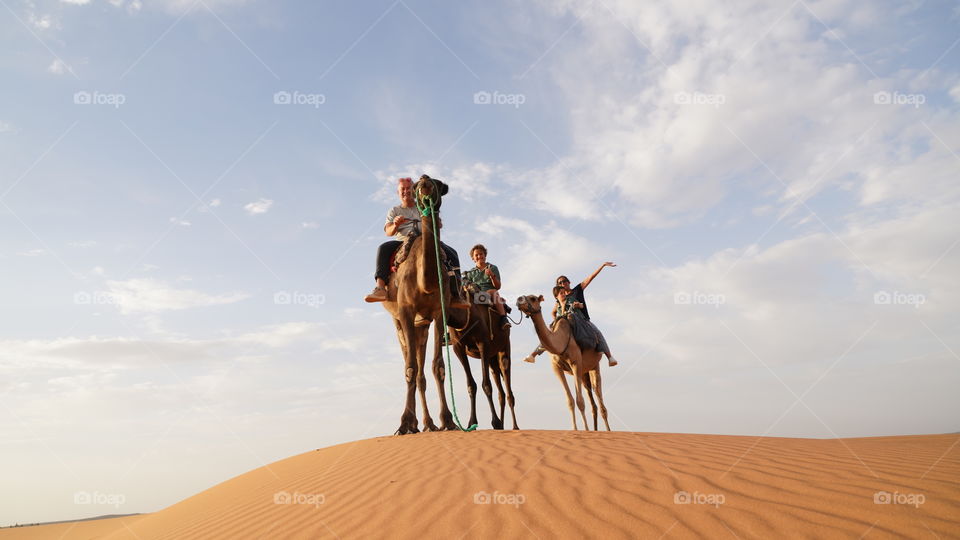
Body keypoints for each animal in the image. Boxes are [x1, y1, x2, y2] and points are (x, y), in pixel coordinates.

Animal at [378, 175, 462, 436]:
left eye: (439, 183)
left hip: (422, 325)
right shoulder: (406, 311)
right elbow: (410, 368)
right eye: (414, 186)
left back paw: (428, 423)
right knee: (412, 365)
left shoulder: (438, 312)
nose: (424, 180)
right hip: (398, 321)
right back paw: (415, 423)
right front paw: (404, 424)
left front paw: (448, 421)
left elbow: (438, 367)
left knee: (423, 372)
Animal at [448, 282, 516, 430]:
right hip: (492, 358)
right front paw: (472, 422)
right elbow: (471, 385)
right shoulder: (458, 347)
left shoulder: (483, 344)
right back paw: (502, 425)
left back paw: (515, 426)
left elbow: (486, 385)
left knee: (507, 385)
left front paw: (495, 422)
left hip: (504, 346)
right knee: (500, 391)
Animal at [512, 296, 612, 430]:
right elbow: (570, 401)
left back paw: (608, 430)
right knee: (591, 399)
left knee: (598, 393)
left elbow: (580, 401)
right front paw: (575, 429)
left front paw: (585, 429)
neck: (561, 340)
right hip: (584, 372)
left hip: (594, 365)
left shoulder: (575, 363)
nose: (519, 299)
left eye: (533, 298)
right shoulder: (556, 368)